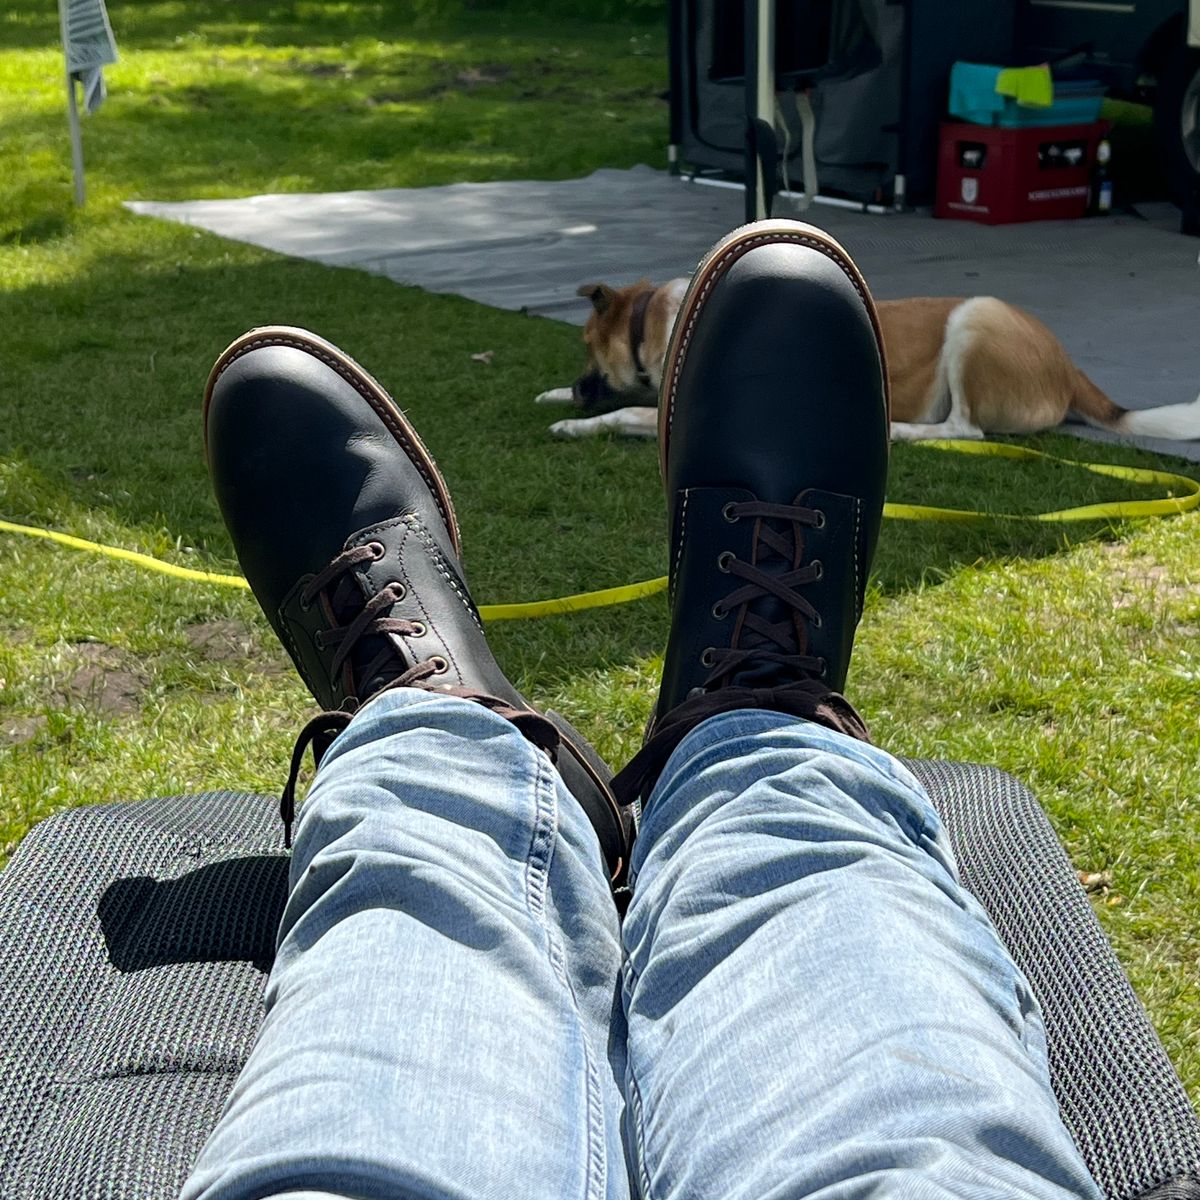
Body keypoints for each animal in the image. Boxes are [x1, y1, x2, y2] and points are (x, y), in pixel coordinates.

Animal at [540, 278, 1200, 444]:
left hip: (974, 321)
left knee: (963, 430)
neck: (655, 315)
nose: (577, 385)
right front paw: (553, 397)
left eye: (586, 346)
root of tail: (1068, 367)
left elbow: (622, 416)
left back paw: (899, 430)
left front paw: (571, 422)